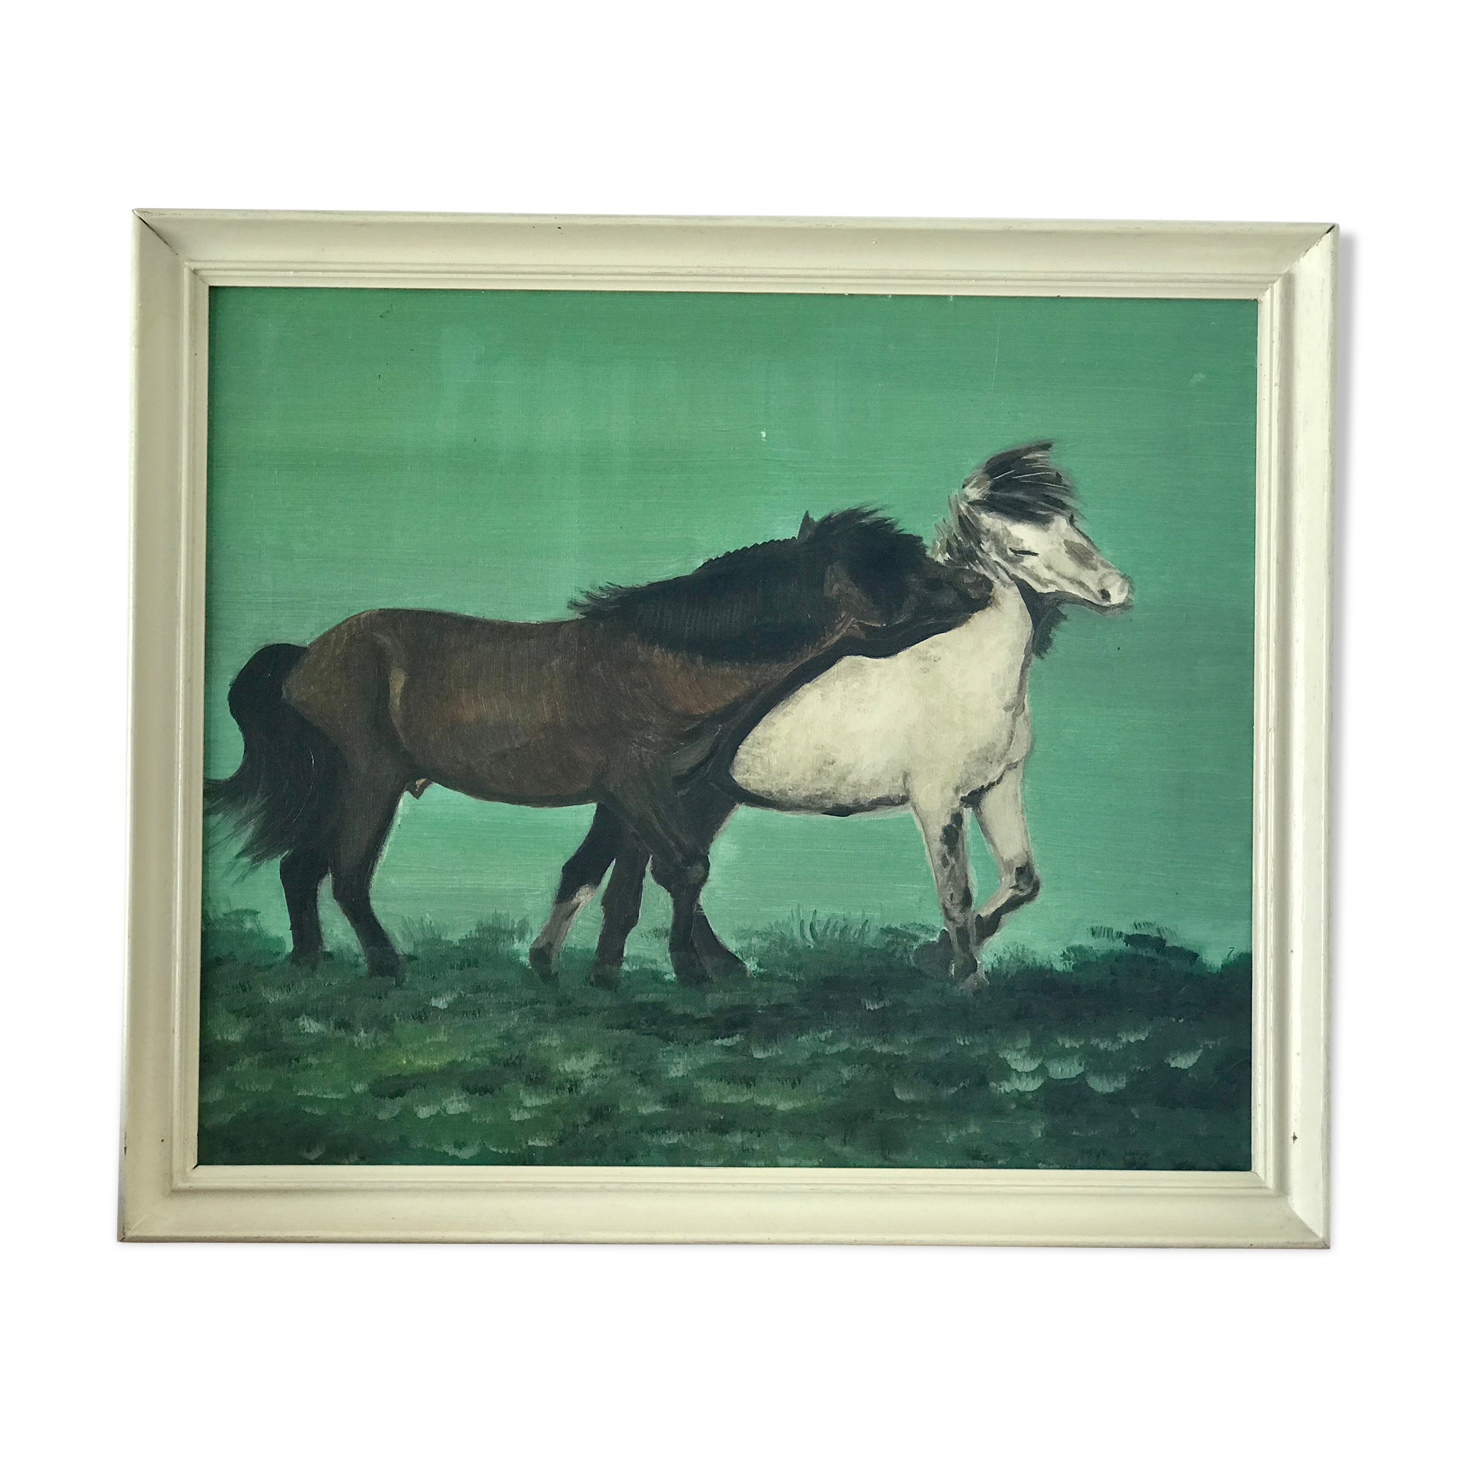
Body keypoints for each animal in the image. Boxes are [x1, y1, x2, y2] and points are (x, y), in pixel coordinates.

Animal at [205, 508, 983, 984]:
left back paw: (309, 962)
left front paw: (596, 970)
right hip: (372, 780)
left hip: (338, 783)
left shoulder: (636, 795)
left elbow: (620, 883)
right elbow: (684, 869)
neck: (661, 664)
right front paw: (689, 971)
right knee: (346, 874)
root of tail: (306, 657)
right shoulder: (639, 785)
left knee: (301, 867)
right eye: (888, 564)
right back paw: (384, 963)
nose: (975, 585)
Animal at [532, 441, 1133, 990]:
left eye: (1070, 522)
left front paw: (933, 956)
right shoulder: (937, 801)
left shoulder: (998, 787)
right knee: (640, 866)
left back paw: (716, 966)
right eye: (1019, 550)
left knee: (665, 867)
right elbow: (954, 893)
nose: (1117, 590)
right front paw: (966, 979)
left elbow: (1022, 879)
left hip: (709, 793)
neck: (961, 672)